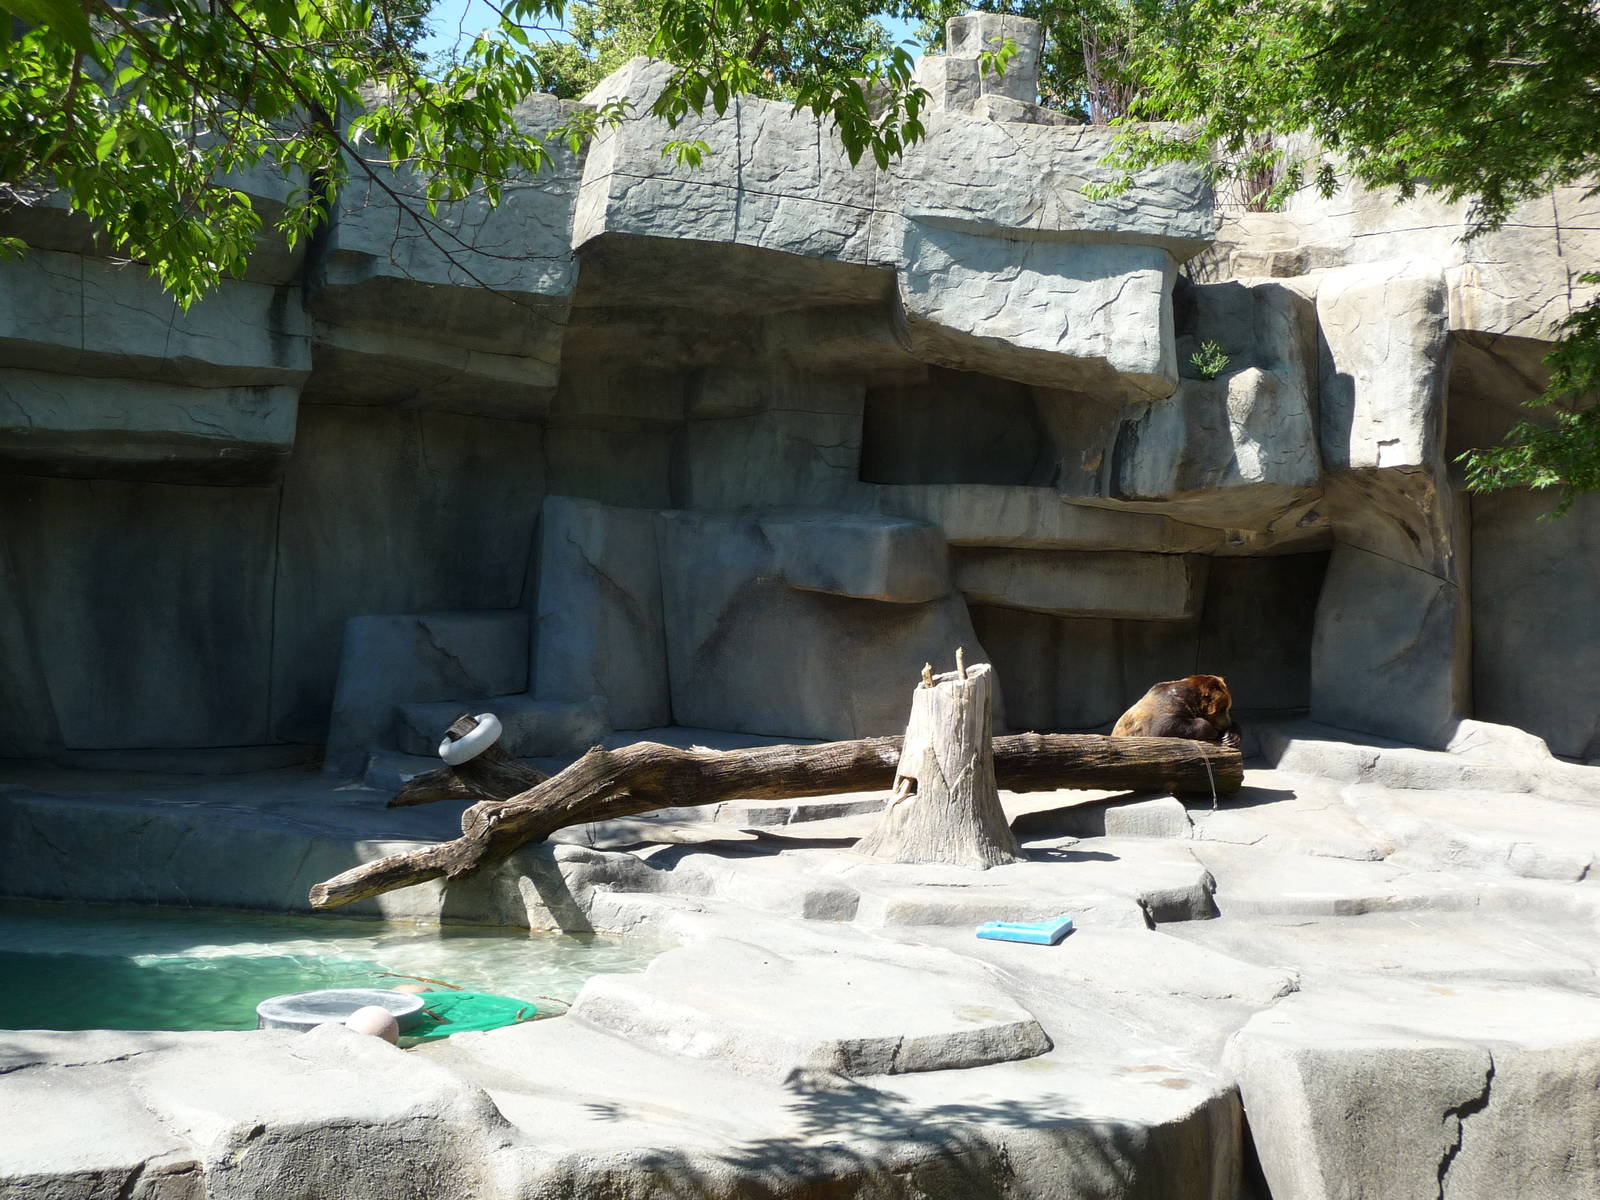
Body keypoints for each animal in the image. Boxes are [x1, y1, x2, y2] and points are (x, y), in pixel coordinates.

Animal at [1112, 675, 1241, 749]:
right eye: (1223, 708)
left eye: (1228, 707)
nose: (1227, 723)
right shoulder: (1165, 707)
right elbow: (1163, 726)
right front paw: (1213, 731)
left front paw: (1230, 737)